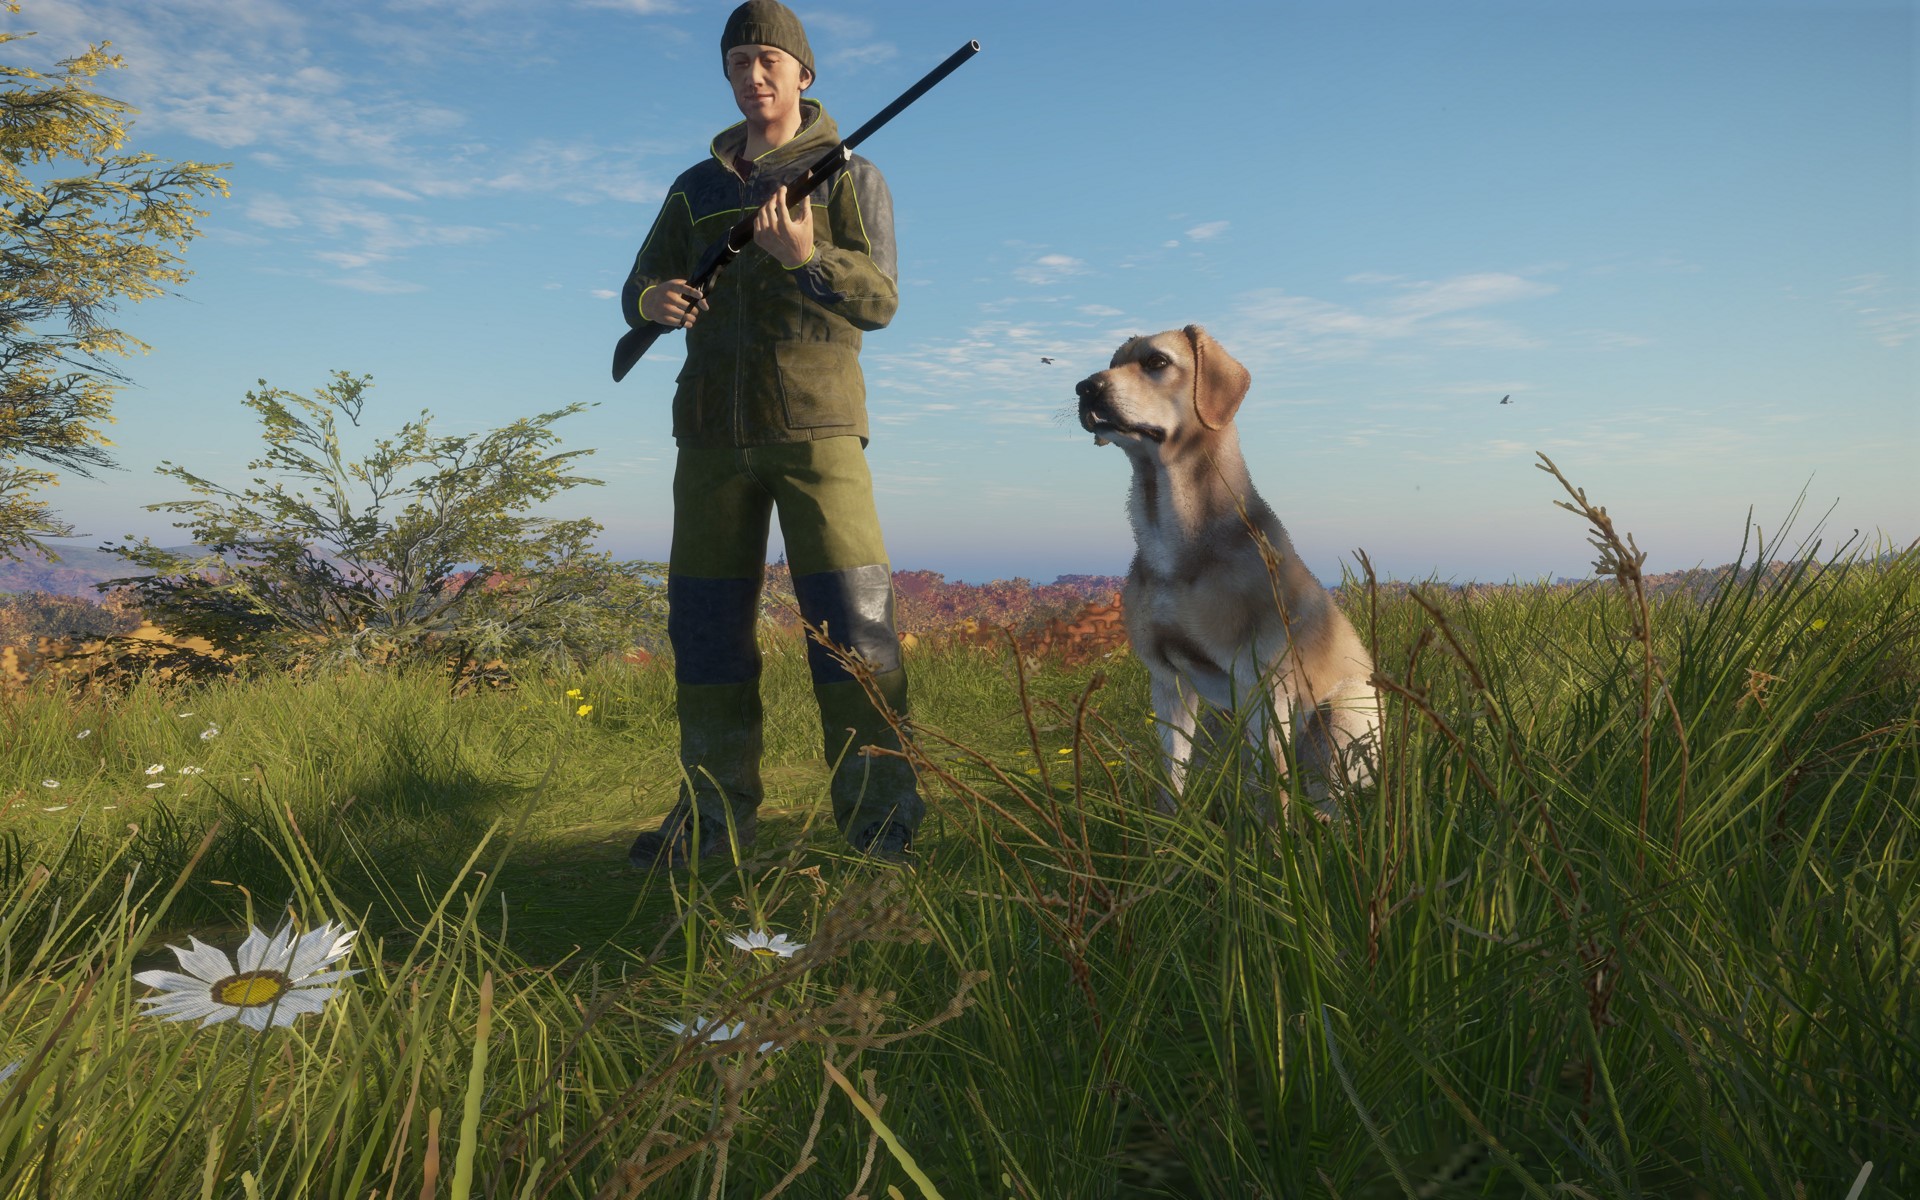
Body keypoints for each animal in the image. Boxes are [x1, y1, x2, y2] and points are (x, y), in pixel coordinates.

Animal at [1082, 322, 1382, 817]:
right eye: (1111, 363)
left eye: (1156, 362)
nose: (1084, 388)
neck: (1174, 540)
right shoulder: (1167, 682)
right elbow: (1172, 773)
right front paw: (1170, 831)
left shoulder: (1269, 687)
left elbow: (1273, 790)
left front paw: (1277, 837)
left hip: (1344, 713)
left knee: (1332, 798)